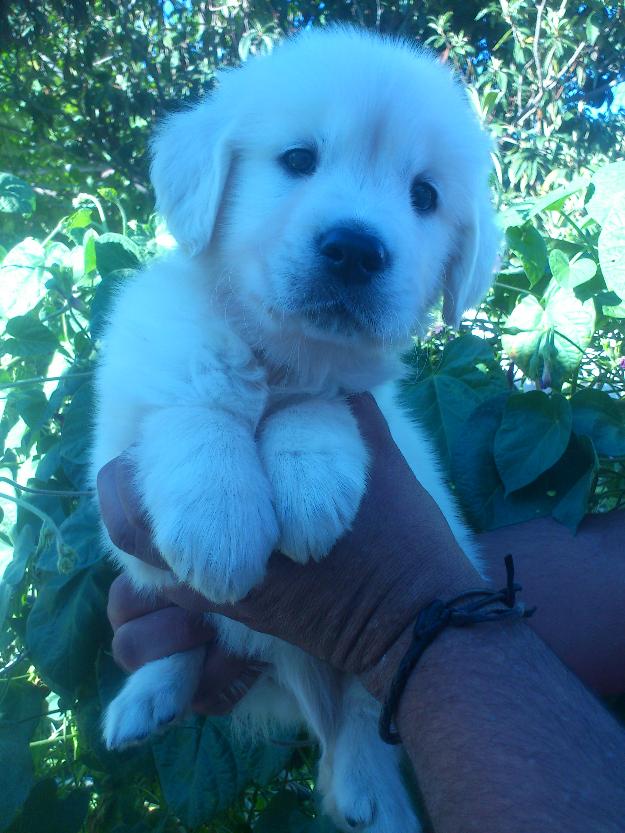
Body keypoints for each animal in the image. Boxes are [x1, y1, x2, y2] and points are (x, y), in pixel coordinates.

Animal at [94, 24, 498, 832]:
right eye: (298, 160)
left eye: (424, 195)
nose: (355, 249)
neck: (279, 358)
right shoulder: (117, 451)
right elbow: (194, 407)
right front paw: (220, 522)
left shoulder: (371, 411)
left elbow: (324, 405)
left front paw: (308, 481)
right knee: (179, 635)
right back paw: (144, 699)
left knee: (363, 713)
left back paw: (369, 792)